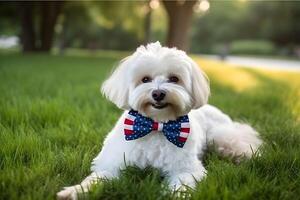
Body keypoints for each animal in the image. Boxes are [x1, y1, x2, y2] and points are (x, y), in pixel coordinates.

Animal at [56, 41, 262, 199]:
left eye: (174, 79)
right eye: (145, 79)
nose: (158, 93)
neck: (157, 125)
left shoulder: (186, 169)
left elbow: (180, 186)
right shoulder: (114, 164)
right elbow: (96, 178)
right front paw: (75, 191)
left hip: (221, 136)